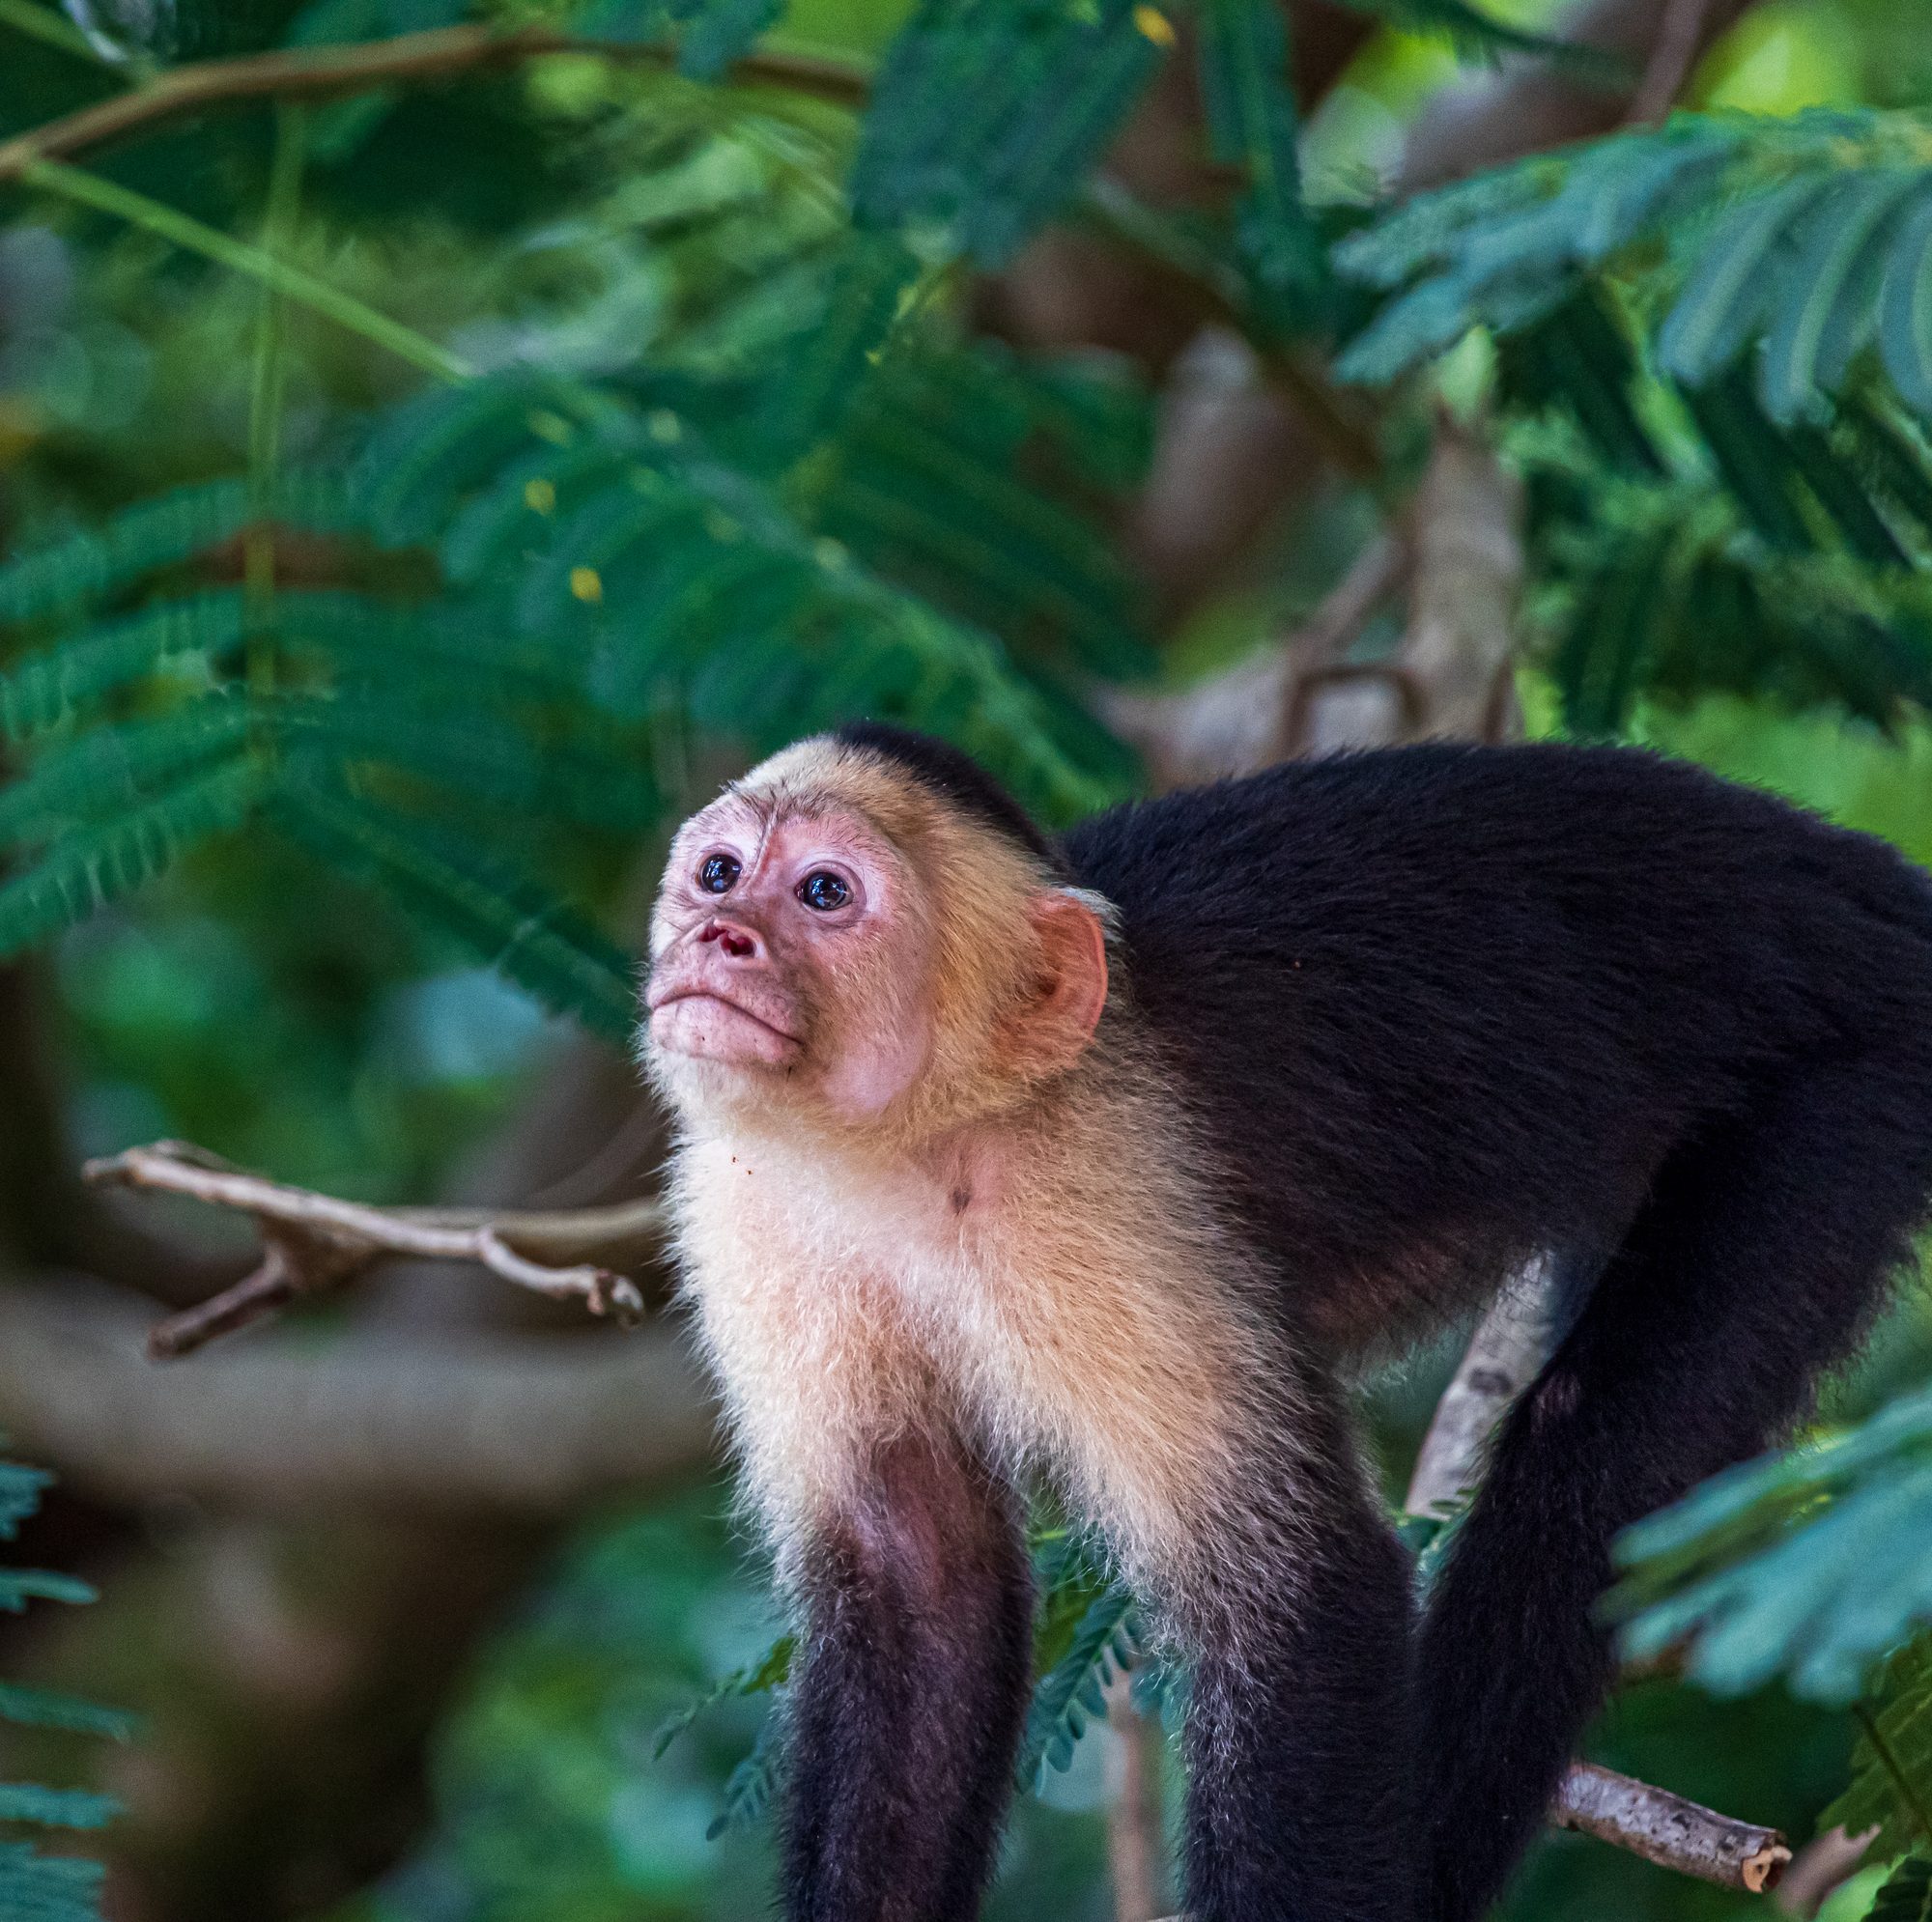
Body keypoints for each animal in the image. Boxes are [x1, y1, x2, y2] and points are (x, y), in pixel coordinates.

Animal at [639, 721, 1932, 1922]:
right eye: (718, 873)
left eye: (824, 894)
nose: (717, 935)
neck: (909, 1145)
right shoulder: (744, 1215)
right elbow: (918, 1587)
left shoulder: (1097, 1188)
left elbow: (1297, 1597)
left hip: (1853, 1088)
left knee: (1591, 1472)